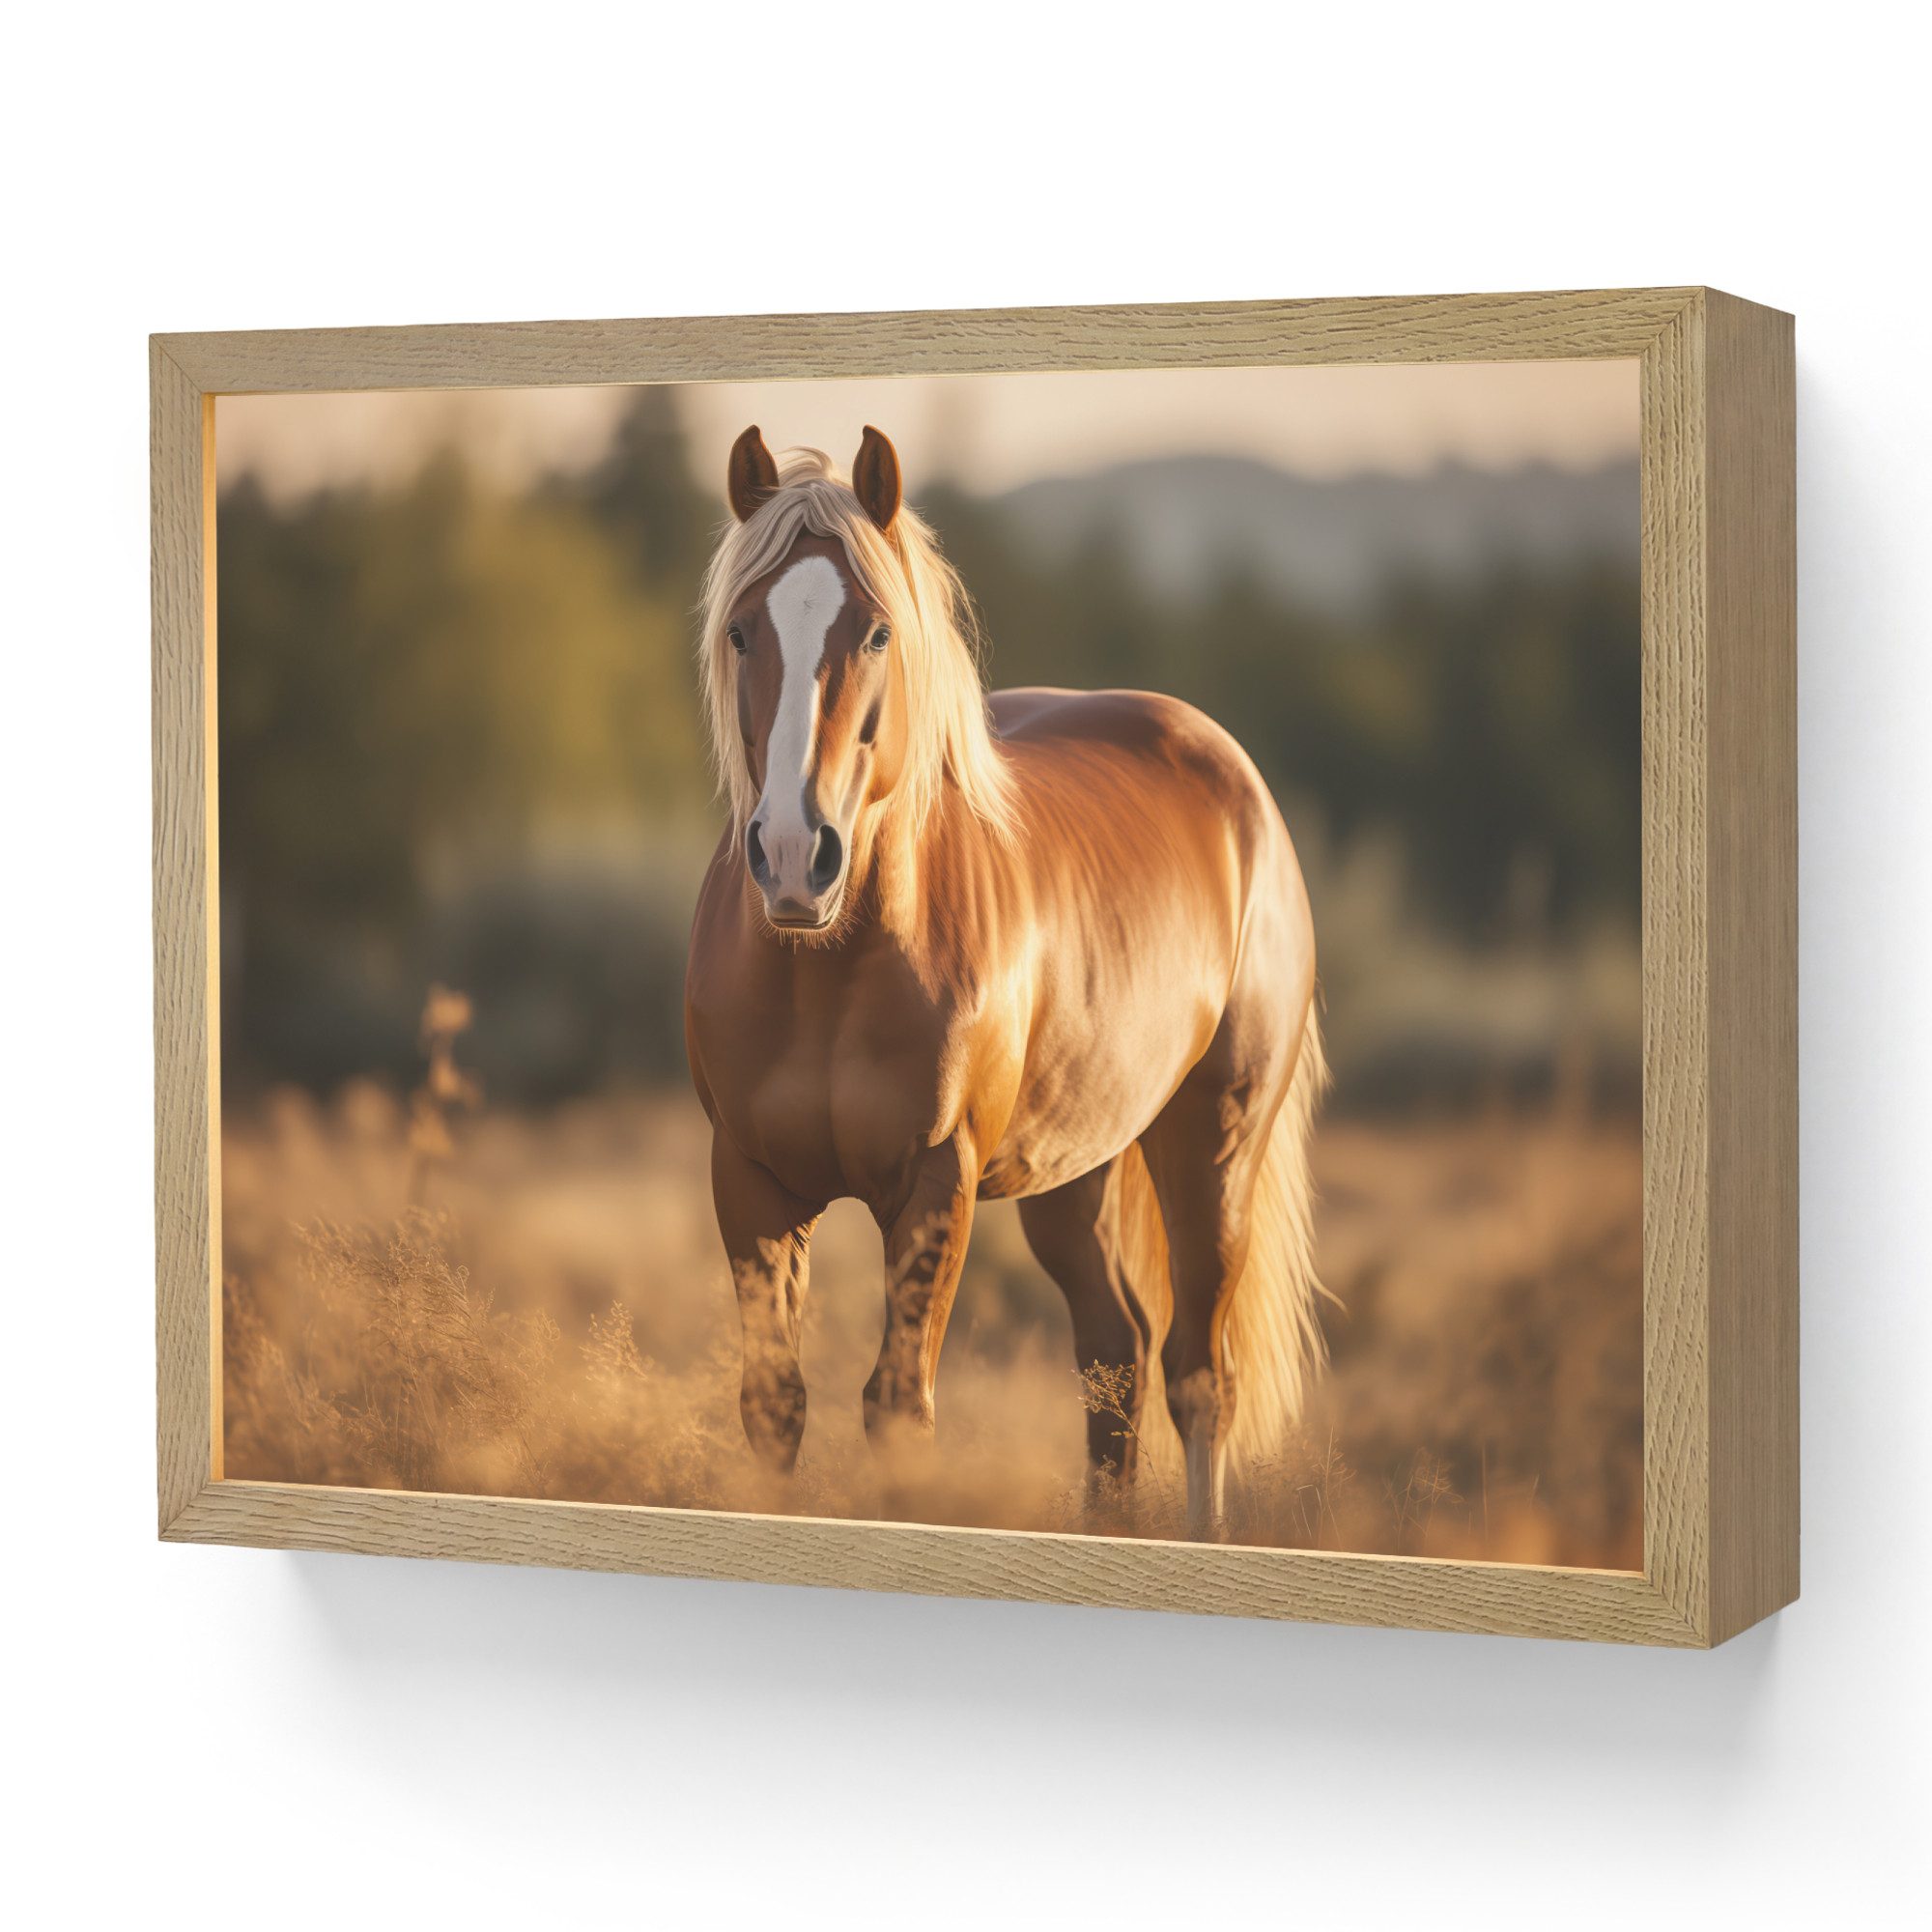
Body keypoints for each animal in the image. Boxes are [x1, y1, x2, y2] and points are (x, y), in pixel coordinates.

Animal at [683, 425, 1328, 1540]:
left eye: (877, 633)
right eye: (739, 631)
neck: (827, 973)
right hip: (1074, 1171)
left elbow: (897, 1406)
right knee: (1116, 1355)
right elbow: (775, 1404)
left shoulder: (936, 1181)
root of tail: (1231, 774)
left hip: (1213, 1143)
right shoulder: (749, 1179)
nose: (794, 856)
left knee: (1200, 1376)